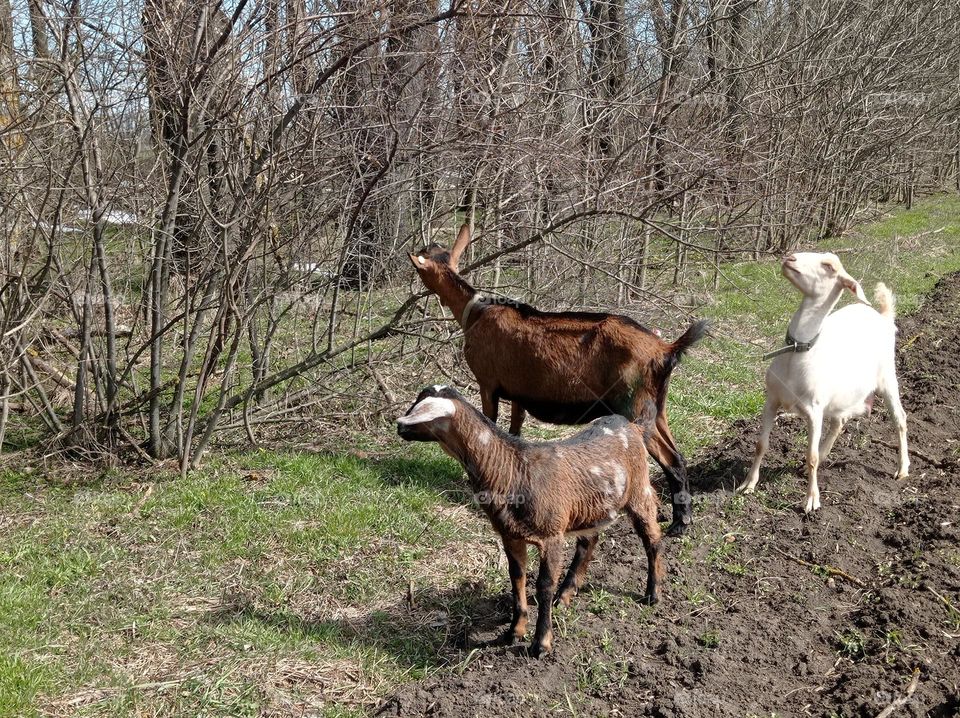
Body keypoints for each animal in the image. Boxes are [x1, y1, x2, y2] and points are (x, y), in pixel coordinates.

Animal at [396, 388, 660, 660]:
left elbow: (543, 585)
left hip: (639, 490)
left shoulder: (552, 535)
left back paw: (652, 594)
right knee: (589, 540)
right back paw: (566, 595)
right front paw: (514, 631)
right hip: (592, 507)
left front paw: (541, 644)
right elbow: (516, 577)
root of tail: (633, 426)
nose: (398, 426)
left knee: (652, 538)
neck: (513, 471)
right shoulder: (510, 535)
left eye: (424, 412)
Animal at [408, 228, 708, 536]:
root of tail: (666, 349)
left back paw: (679, 524)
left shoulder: (487, 384)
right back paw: (682, 518)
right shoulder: (519, 394)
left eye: (421, 260)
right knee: (679, 456)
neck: (476, 312)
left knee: (670, 460)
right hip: (658, 408)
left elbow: (487, 424)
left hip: (634, 406)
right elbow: (515, 433)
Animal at [740, 253, 912, 512]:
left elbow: (810, 456)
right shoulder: (772, 399)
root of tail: (883, 316)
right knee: (839, 422)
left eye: (829, 266)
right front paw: (748, 484)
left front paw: (811, 500)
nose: (790, 257)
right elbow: (761, 444)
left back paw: (902, 469)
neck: (798, 352)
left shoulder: (814, 409)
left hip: (887, 377)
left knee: (899, 418)